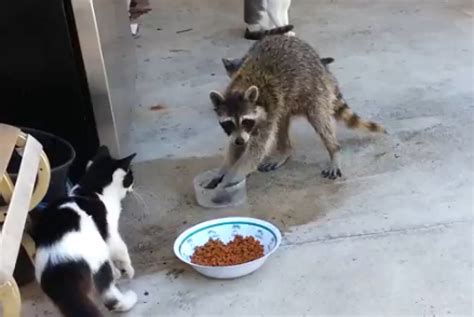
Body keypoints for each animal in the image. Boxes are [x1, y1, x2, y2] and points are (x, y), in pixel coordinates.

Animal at [32, 146, 137, 316]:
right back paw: (128, 300)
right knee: (110, 297)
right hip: (98, 262)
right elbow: (121, 251)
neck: (93, 187)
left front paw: (116, 271)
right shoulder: (111, 234)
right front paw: (128, 270)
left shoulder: (104, 237)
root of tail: (59, 266)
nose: (133, 187)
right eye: (131, 177)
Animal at [207, 34, 386, 193]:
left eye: (245, 121)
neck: (241, 87)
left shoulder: (267, 111)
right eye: (229, 123)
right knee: (282, 120)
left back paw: (333, 149)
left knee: (319, 120)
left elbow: (255, 151)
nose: (240, 140)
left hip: (315, 90)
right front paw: (224, 169)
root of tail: (322, 66)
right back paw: (284, 151)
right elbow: (237, 147)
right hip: (288, 100)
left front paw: (230, 178)